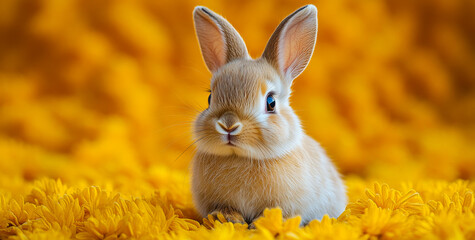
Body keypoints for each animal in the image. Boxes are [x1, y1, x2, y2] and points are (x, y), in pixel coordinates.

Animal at [189, 3, 346, 226]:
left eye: (270, 103)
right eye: (210, 98)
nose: (229, 124)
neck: (241, 157)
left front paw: (261, 222)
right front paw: (228, 218)